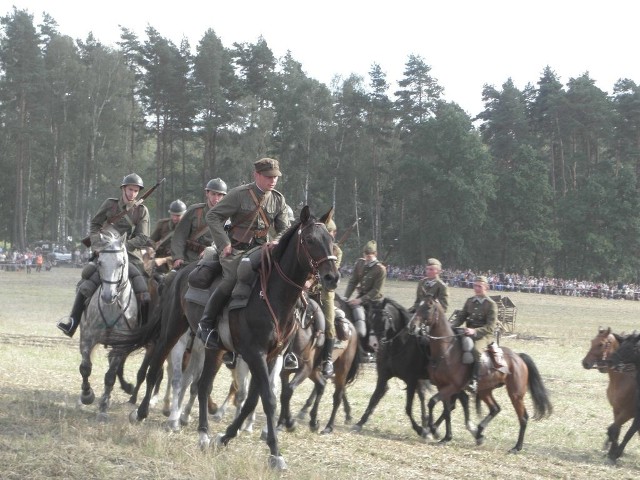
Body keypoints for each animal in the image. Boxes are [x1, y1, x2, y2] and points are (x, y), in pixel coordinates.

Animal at [278, 296, 362, 436]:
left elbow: (288, 390)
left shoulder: (304, 370)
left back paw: (328, 427)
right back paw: (313, 422)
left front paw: (289, 423)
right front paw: (280, 424)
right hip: (314, 371)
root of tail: (352, 329)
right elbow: (283, 394)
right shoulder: (285, 372)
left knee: (337, 396)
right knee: (322, 384)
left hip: (341, 370)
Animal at [412, 298, 552, 452]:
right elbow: (446, 409)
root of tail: (518, 357)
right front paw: (444, 436)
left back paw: (516, 447)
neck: (447, 350)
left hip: (515, 394)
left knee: (523, 417)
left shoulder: (452, 387)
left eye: (428, 308)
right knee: (495, 408)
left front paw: (434, 430)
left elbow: (433, 402)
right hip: (485, 391)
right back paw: (479, 432)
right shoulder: (442, 386)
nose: (412, 326)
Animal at [580, 328, 636, 456]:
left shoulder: (629, 412)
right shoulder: (616, 409)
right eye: (592, 342)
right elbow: (616, 430)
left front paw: (614, 453)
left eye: (601, 344)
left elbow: (614, 429)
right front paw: (612, 450)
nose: (585, 363)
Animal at [604, 330, 640, 462]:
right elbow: (617, 430)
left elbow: (628, 432)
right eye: (621, 345)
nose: (610, 361)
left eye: (630, 347)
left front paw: (616, 453)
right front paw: (613, 452)